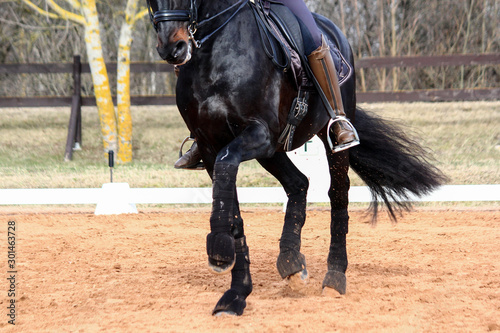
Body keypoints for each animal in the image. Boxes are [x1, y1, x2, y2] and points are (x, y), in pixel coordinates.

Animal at [146, 0, 446, 316]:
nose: (173, 48)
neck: (213, 55)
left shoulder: (258, 135)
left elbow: (227, 167)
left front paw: (219, 250)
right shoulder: (209, 145)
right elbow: (232, 208)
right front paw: (236, 292)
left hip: (328, 133)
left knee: (338, 195)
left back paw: (334, 277)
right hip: (274, 151)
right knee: (299, 183)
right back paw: (290, 260)